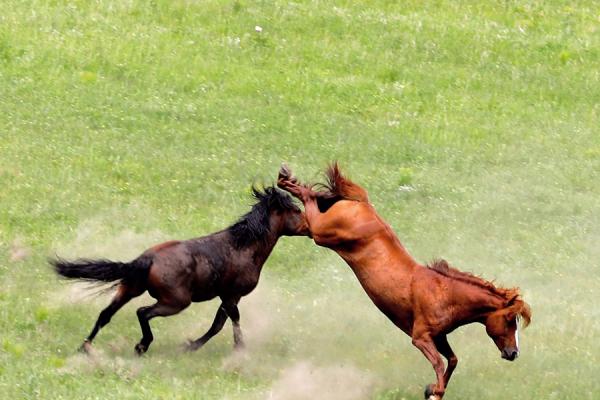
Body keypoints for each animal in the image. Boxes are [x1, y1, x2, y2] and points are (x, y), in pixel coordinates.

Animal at [50, 188, 310, 356]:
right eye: (296, 210)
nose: (310, 227)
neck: (244, 246)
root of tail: (145, 259)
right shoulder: (231, 295)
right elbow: (228, 323)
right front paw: (239, 351)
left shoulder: (225, 297)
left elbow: (218, 324)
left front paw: (190, 346)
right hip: (176, 302)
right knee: (143, 312)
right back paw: (141, 346)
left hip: (129, 289)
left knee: (106, 314)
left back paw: (85, 347)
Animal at [276, 163, 528, 400]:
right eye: (509, 320)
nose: (513, 353)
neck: (445, 293)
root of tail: (361, 203)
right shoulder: (421, 338)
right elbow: (439, 362)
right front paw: (435, 391)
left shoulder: (439, 336)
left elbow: (453, 360)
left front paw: (432, 390)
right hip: (321, 233)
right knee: (308, 199)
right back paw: (285, 179)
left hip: (313, 231)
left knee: (310, 200)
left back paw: (288, 180)